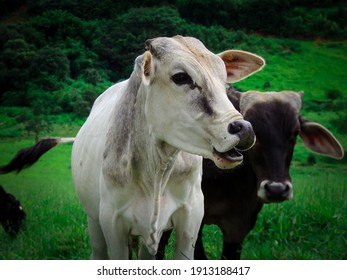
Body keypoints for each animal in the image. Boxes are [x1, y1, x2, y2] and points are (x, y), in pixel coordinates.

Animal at [0, 36, 266, 260]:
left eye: (223, 79)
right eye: (181, 77)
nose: (244, 129)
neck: (156, 170)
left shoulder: (190, 218)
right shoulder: (112, 223)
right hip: (93, 221)